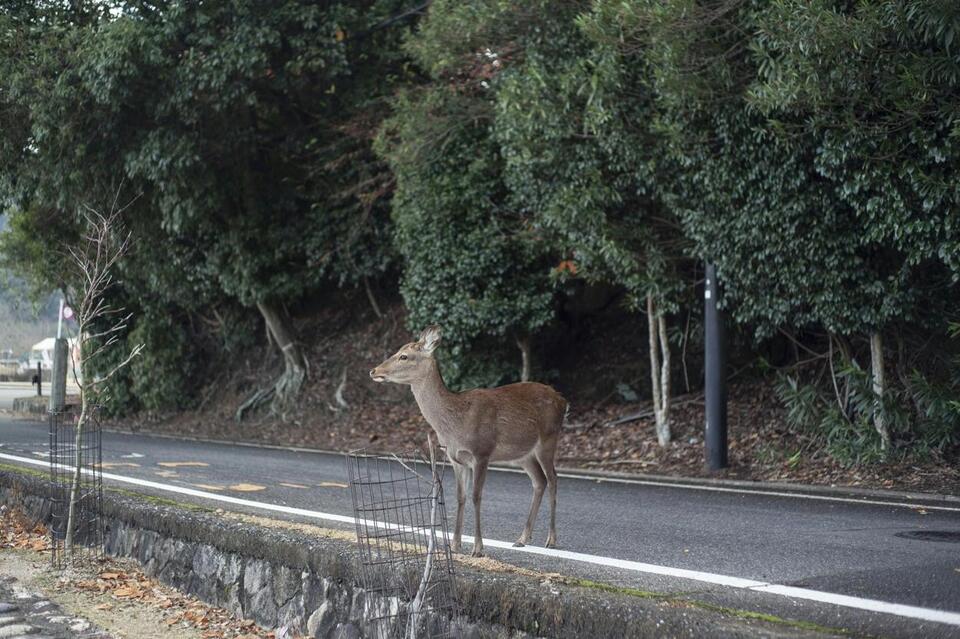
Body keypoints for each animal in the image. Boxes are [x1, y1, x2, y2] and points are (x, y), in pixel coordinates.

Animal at [369, 325, 566, 557]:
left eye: (404, 356)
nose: (374, 371)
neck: (456, 424)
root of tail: (563, 400)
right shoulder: (456, 458)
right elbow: (460, 496)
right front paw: (455, 545)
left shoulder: (482, 452)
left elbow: (476, 496)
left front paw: (478, 548)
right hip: (522, 454)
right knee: (539, 481)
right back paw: (522, 538)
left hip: (549, 438)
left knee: (553, 478)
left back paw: (551, 539)